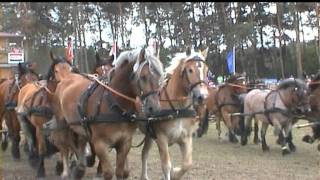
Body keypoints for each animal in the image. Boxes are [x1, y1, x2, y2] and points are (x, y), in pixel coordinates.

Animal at [51, 47, 164, 179]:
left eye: (159, 77)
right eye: (143, 77)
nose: (154, 108)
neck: (114, 104)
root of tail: (66, 78)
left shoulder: (125, 142)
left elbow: (120, 172)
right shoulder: (100, 144)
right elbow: (108, 173)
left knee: (79, 142)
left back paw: (80, 167)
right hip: (62, 123)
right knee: (65, 145)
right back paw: (66, 171)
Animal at [139, 47, 209, 180]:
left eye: (206, 70)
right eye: (190, 70)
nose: (202, 97)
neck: (178, 110)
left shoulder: (186, 138)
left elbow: (187, 164)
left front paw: (175, 173)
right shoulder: (161, 138)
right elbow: (166, 166)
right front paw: (170, 172)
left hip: (149, 135)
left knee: (144, 153)